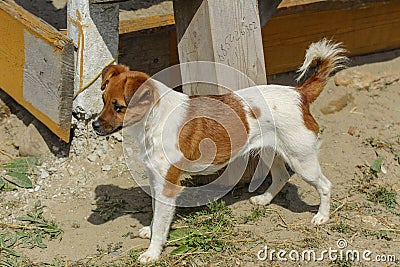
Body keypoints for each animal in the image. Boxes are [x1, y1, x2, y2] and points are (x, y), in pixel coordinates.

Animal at [92, 40, 346, 266]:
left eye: (118, 107)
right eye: (103, 100)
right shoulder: (156, 180)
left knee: (325, 185)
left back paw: (322, 216)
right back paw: (264, 199)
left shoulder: (167, 186)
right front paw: (151, 230)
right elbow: (156, 214)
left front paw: (152, 252)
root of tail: (299, 94)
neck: (155, 121)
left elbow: (162, 222)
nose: (94, 125)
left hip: (302, 161)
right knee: (282, 176)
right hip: (269, 152)